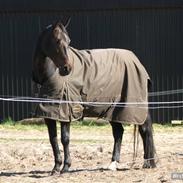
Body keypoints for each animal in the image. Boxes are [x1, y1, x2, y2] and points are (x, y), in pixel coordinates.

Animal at [32, 21, 156, 174]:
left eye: (68, 41)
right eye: (57, 40)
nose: (67, 68)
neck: (49, 74)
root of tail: (136, 61)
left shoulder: (66, 111)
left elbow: (65, 138)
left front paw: (66, 167)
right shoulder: (49, 114)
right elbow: (53, 139)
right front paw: (56, 168)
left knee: (144, 130)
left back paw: (148, 163)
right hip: (112, 109)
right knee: (119, 132)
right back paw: (114, 163)